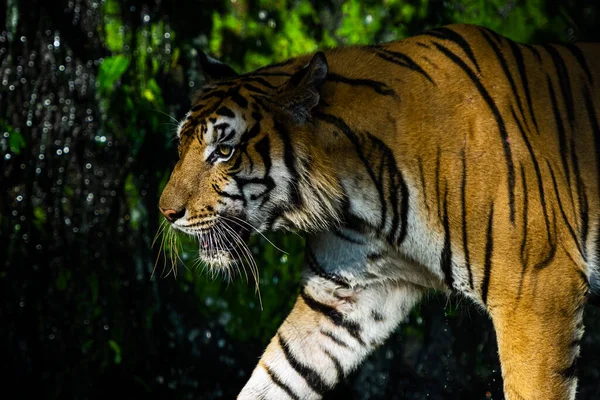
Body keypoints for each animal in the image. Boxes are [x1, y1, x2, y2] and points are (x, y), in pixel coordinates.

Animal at [158, 23, 600, 398]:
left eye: (224, 151)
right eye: (181, 146)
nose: (165, 212)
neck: (356, 195)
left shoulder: (536, 290)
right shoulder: (345, 297)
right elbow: (278, 374)